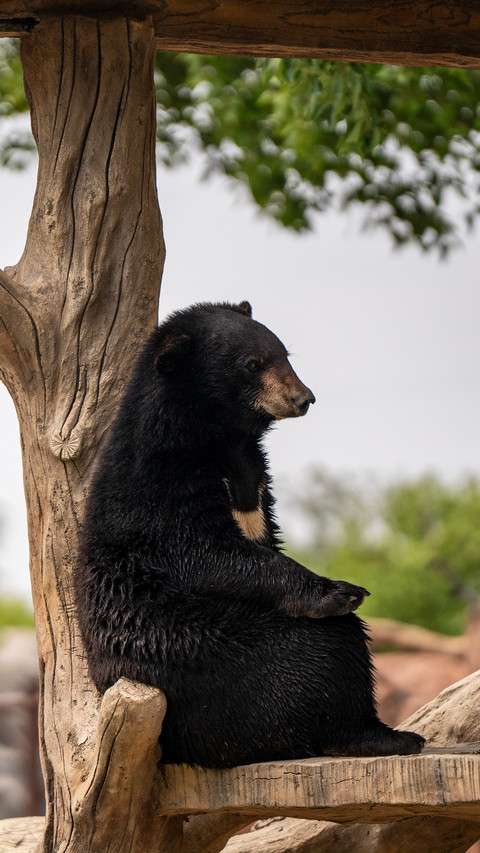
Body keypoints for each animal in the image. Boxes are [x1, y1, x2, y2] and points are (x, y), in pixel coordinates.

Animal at [74, 300, 425, 767]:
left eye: (284, 354)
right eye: (252, 364)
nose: (303, 398)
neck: (219, 437)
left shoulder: (256, 478)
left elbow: (260, 538)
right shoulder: (161, 484)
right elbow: (202, 551)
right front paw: (338, 591)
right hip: (203, 667)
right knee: (332, 645)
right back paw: (382, 735)